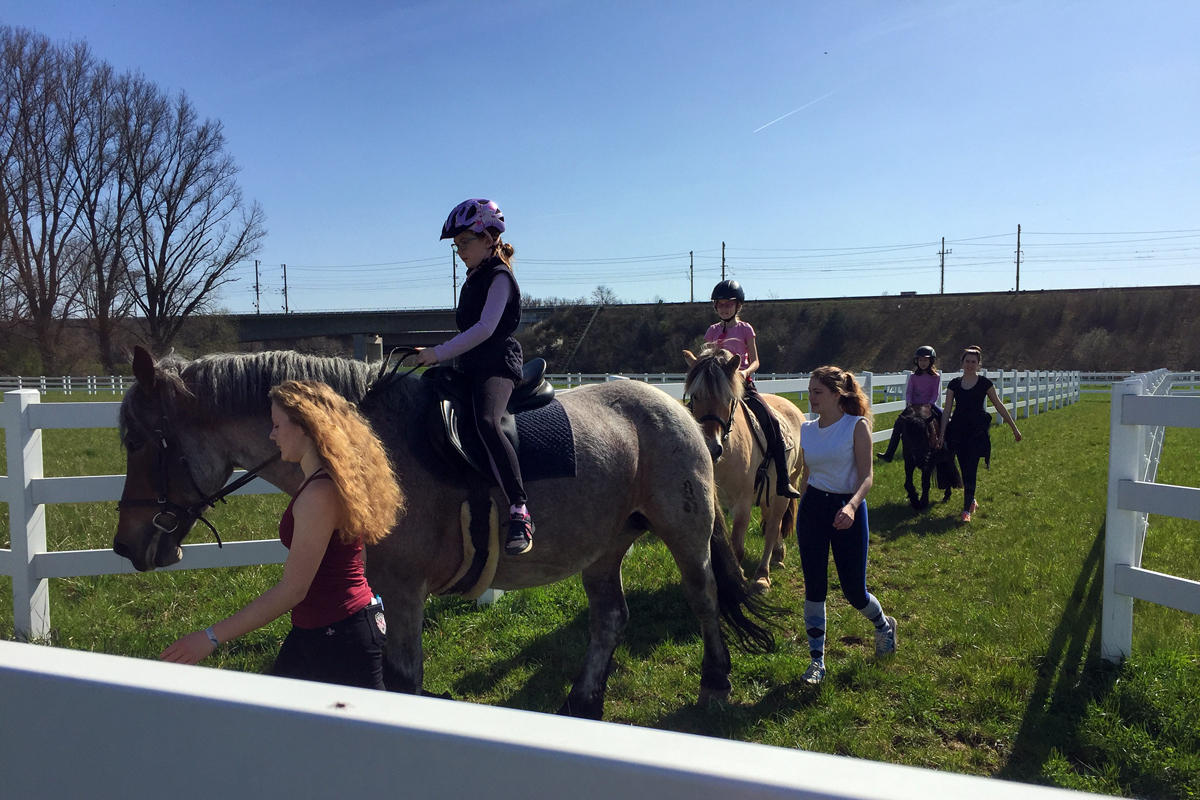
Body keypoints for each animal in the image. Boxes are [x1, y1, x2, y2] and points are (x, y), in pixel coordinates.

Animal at [110, 347, 768, 719]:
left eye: (136, 441)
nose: (125, 545)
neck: (367, 447)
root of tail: (678, 409)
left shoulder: (404, 591)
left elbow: (404, 681)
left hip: (685, 533)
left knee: (704, 598)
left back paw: (715, 684)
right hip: (603, 549)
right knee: (610, 618)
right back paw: (583, 701)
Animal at [681, 347, 801, 592]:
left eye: (728, 398)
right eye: (695, 396)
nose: (711, 447)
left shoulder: (742, 504)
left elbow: (737, 547)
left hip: (783, 491)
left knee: (772, 528)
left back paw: (763, 576)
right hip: (768, 494)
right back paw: (778, 555)